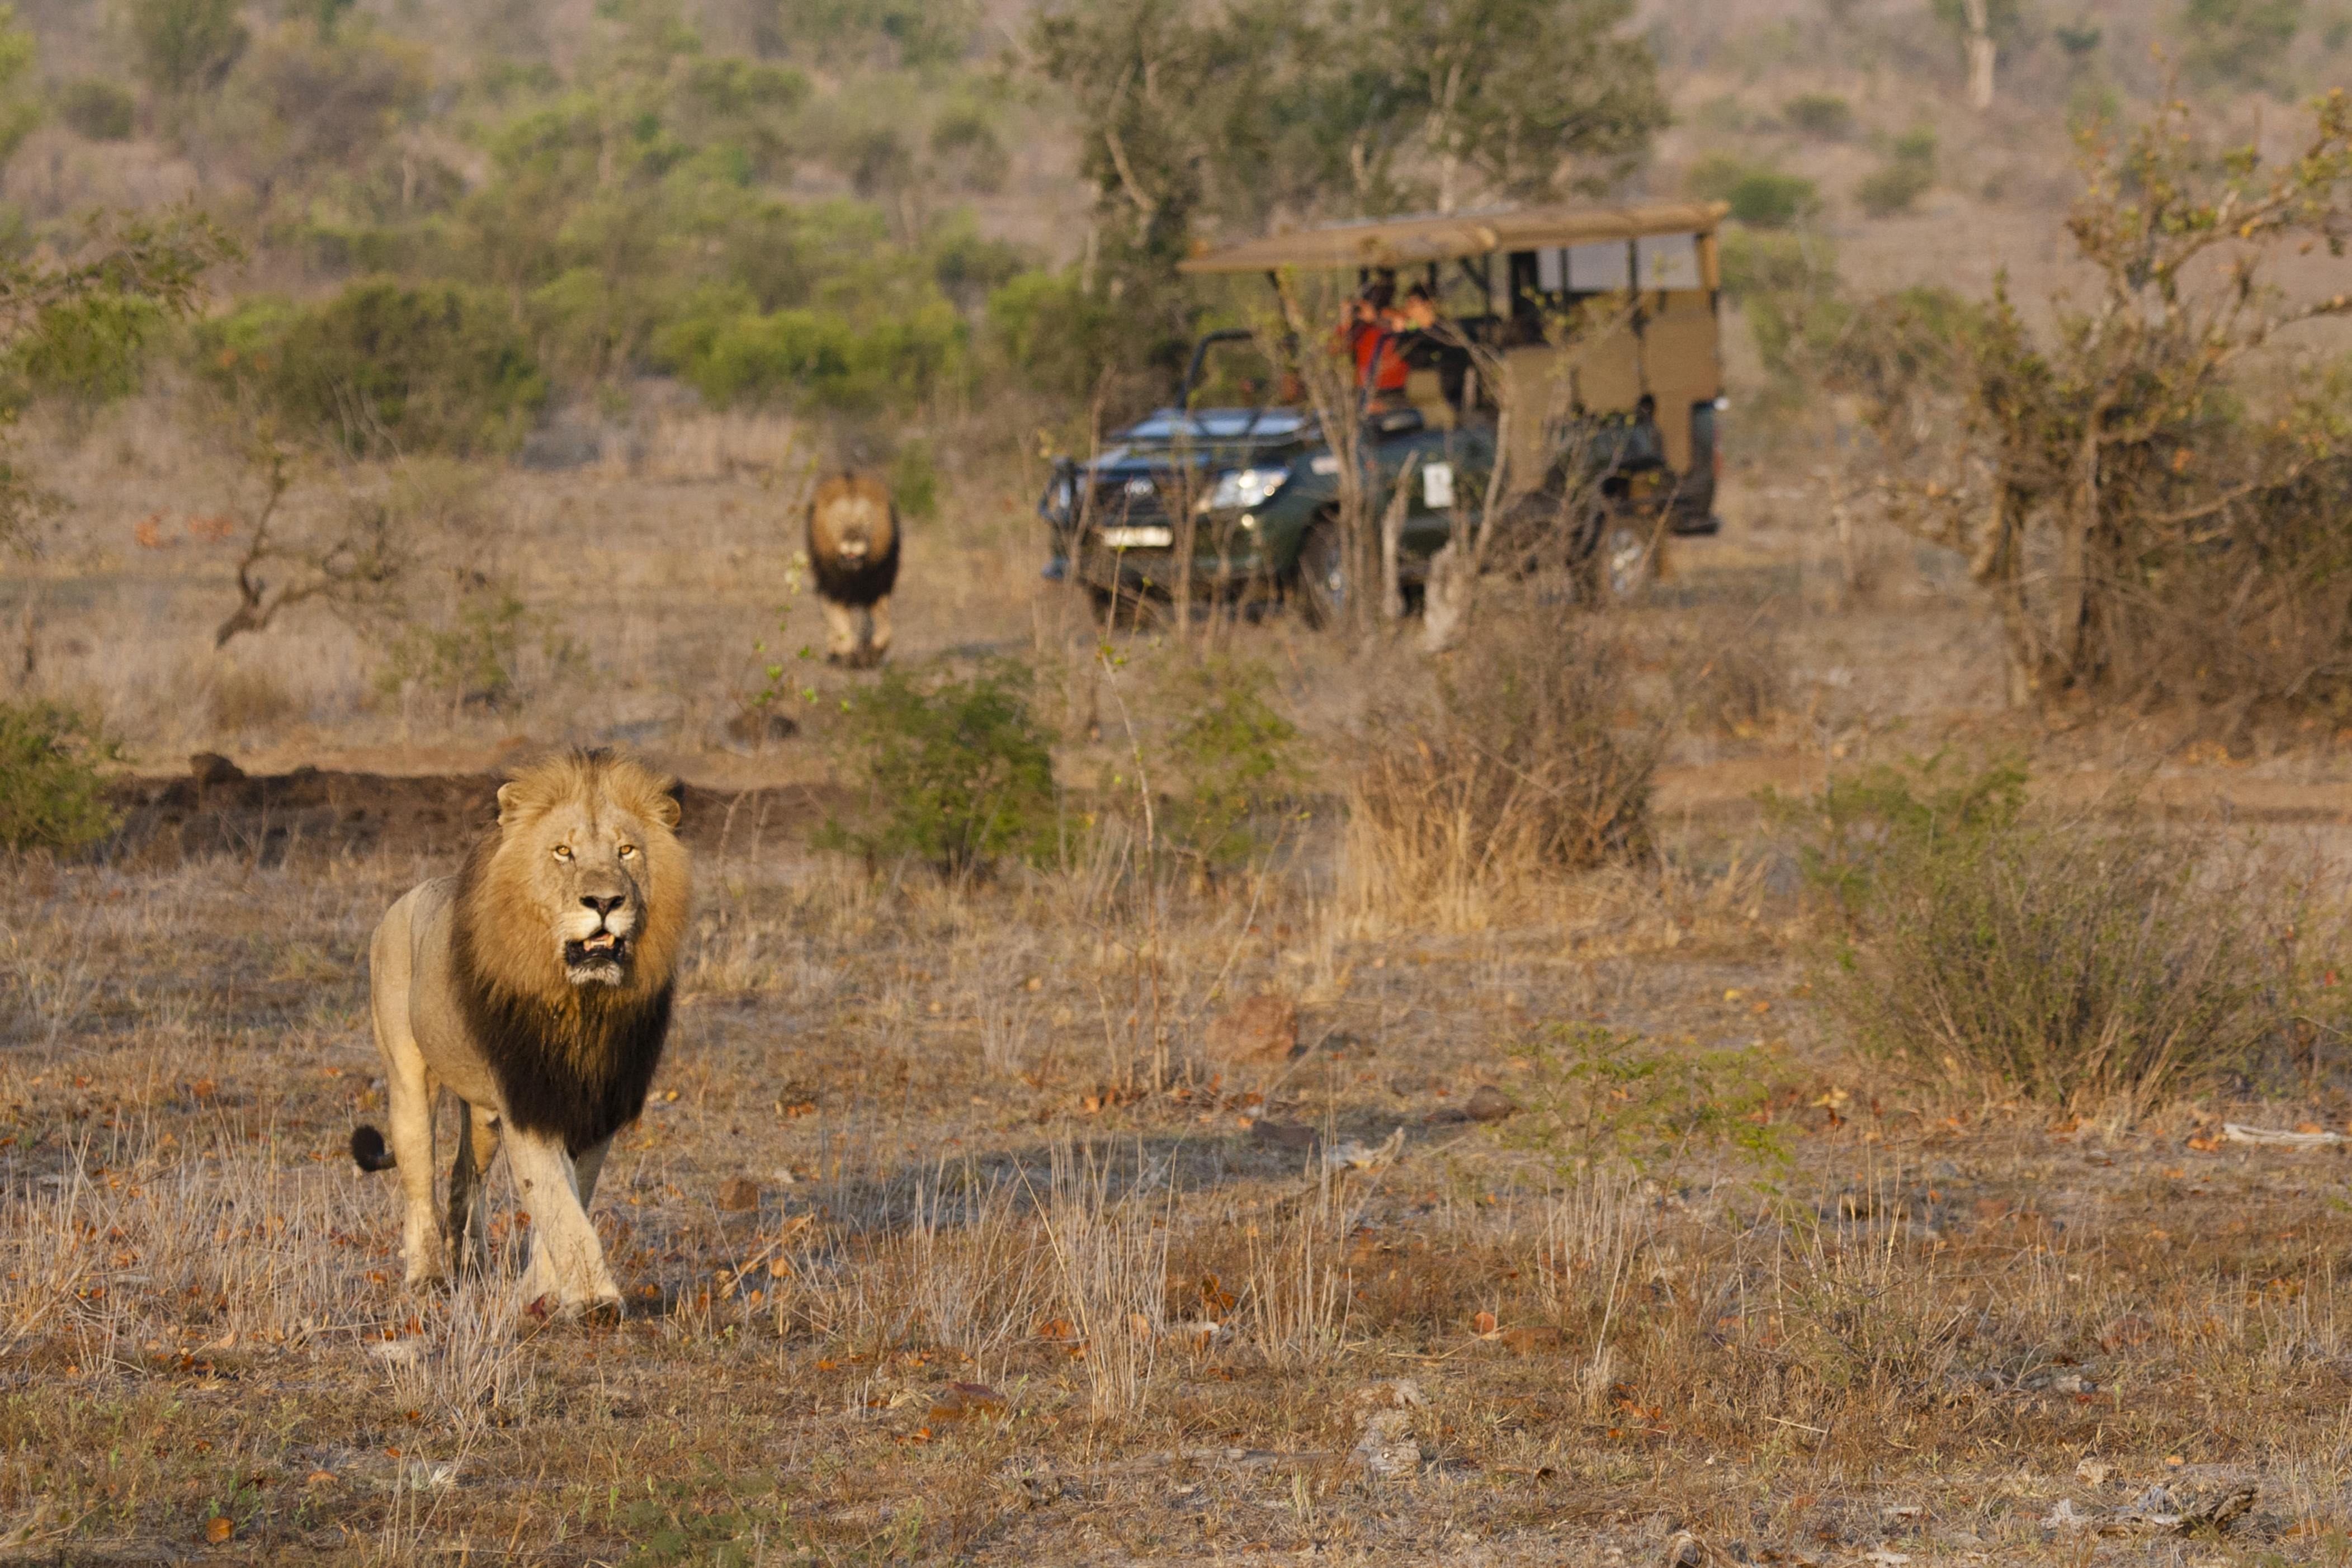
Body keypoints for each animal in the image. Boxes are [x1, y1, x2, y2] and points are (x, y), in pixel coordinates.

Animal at [350, 750, 690, 1319]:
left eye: (627, 850)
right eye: (563, 852)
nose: (605, 901)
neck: (584, 1005)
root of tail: (405, 898)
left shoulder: (597, 1104)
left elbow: (573, 1196)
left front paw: (540, 1290)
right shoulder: (529, 1100)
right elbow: (555, 1198)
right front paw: (594, 1299)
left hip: (483, 1114)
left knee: (465, 1177)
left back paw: (471, 1265)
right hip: (409, 1079)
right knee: (419, 1178)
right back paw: (427, 1276)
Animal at [808, 471, 899, 668]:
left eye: (866, 521)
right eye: (840, 520)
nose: (853, 542)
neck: (855, 576)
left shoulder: (878, 585)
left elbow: (883, 624)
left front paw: (874, 653)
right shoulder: (834, 586)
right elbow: (839, 620)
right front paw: (847, 653)